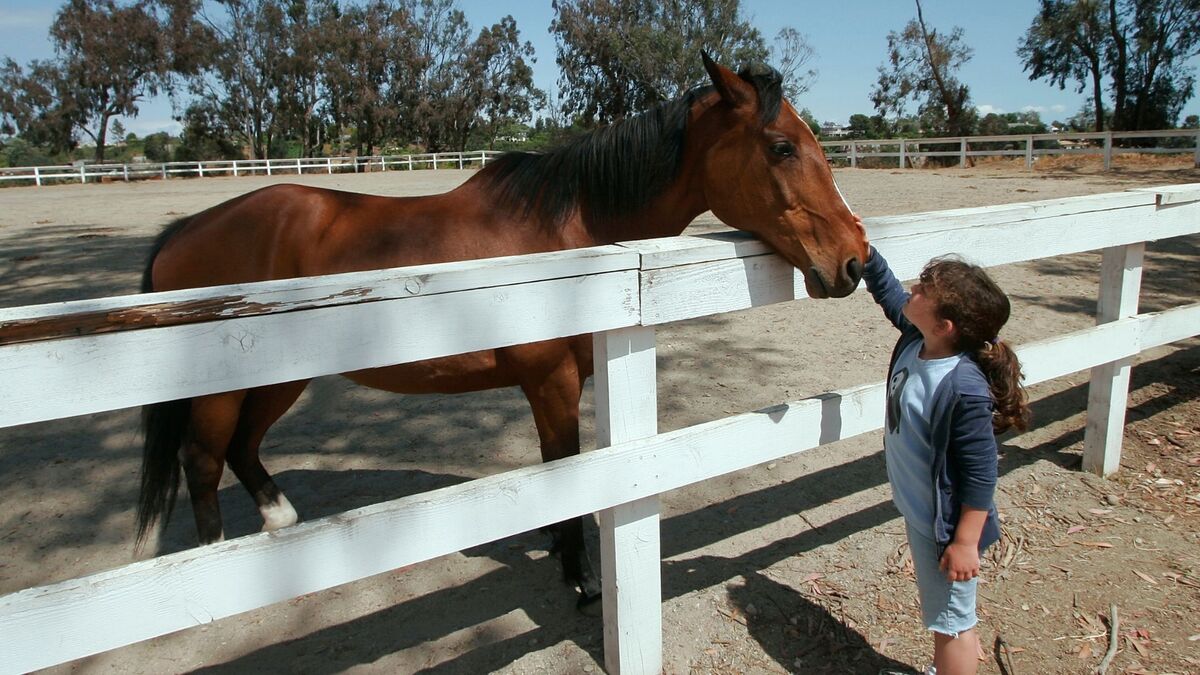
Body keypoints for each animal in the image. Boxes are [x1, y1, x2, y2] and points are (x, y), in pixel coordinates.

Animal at [136, 55, 868, 607]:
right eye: (781, 147)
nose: (854, 259)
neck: (569, 232)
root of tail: (185, 231)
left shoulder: (554, 385)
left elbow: (554, 467)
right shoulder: (552, 382)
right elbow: (567, 471)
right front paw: (583, 579)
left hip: (280, 379)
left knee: (241, 449)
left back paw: (279, 525)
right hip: (227, 391)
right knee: (203, 460)